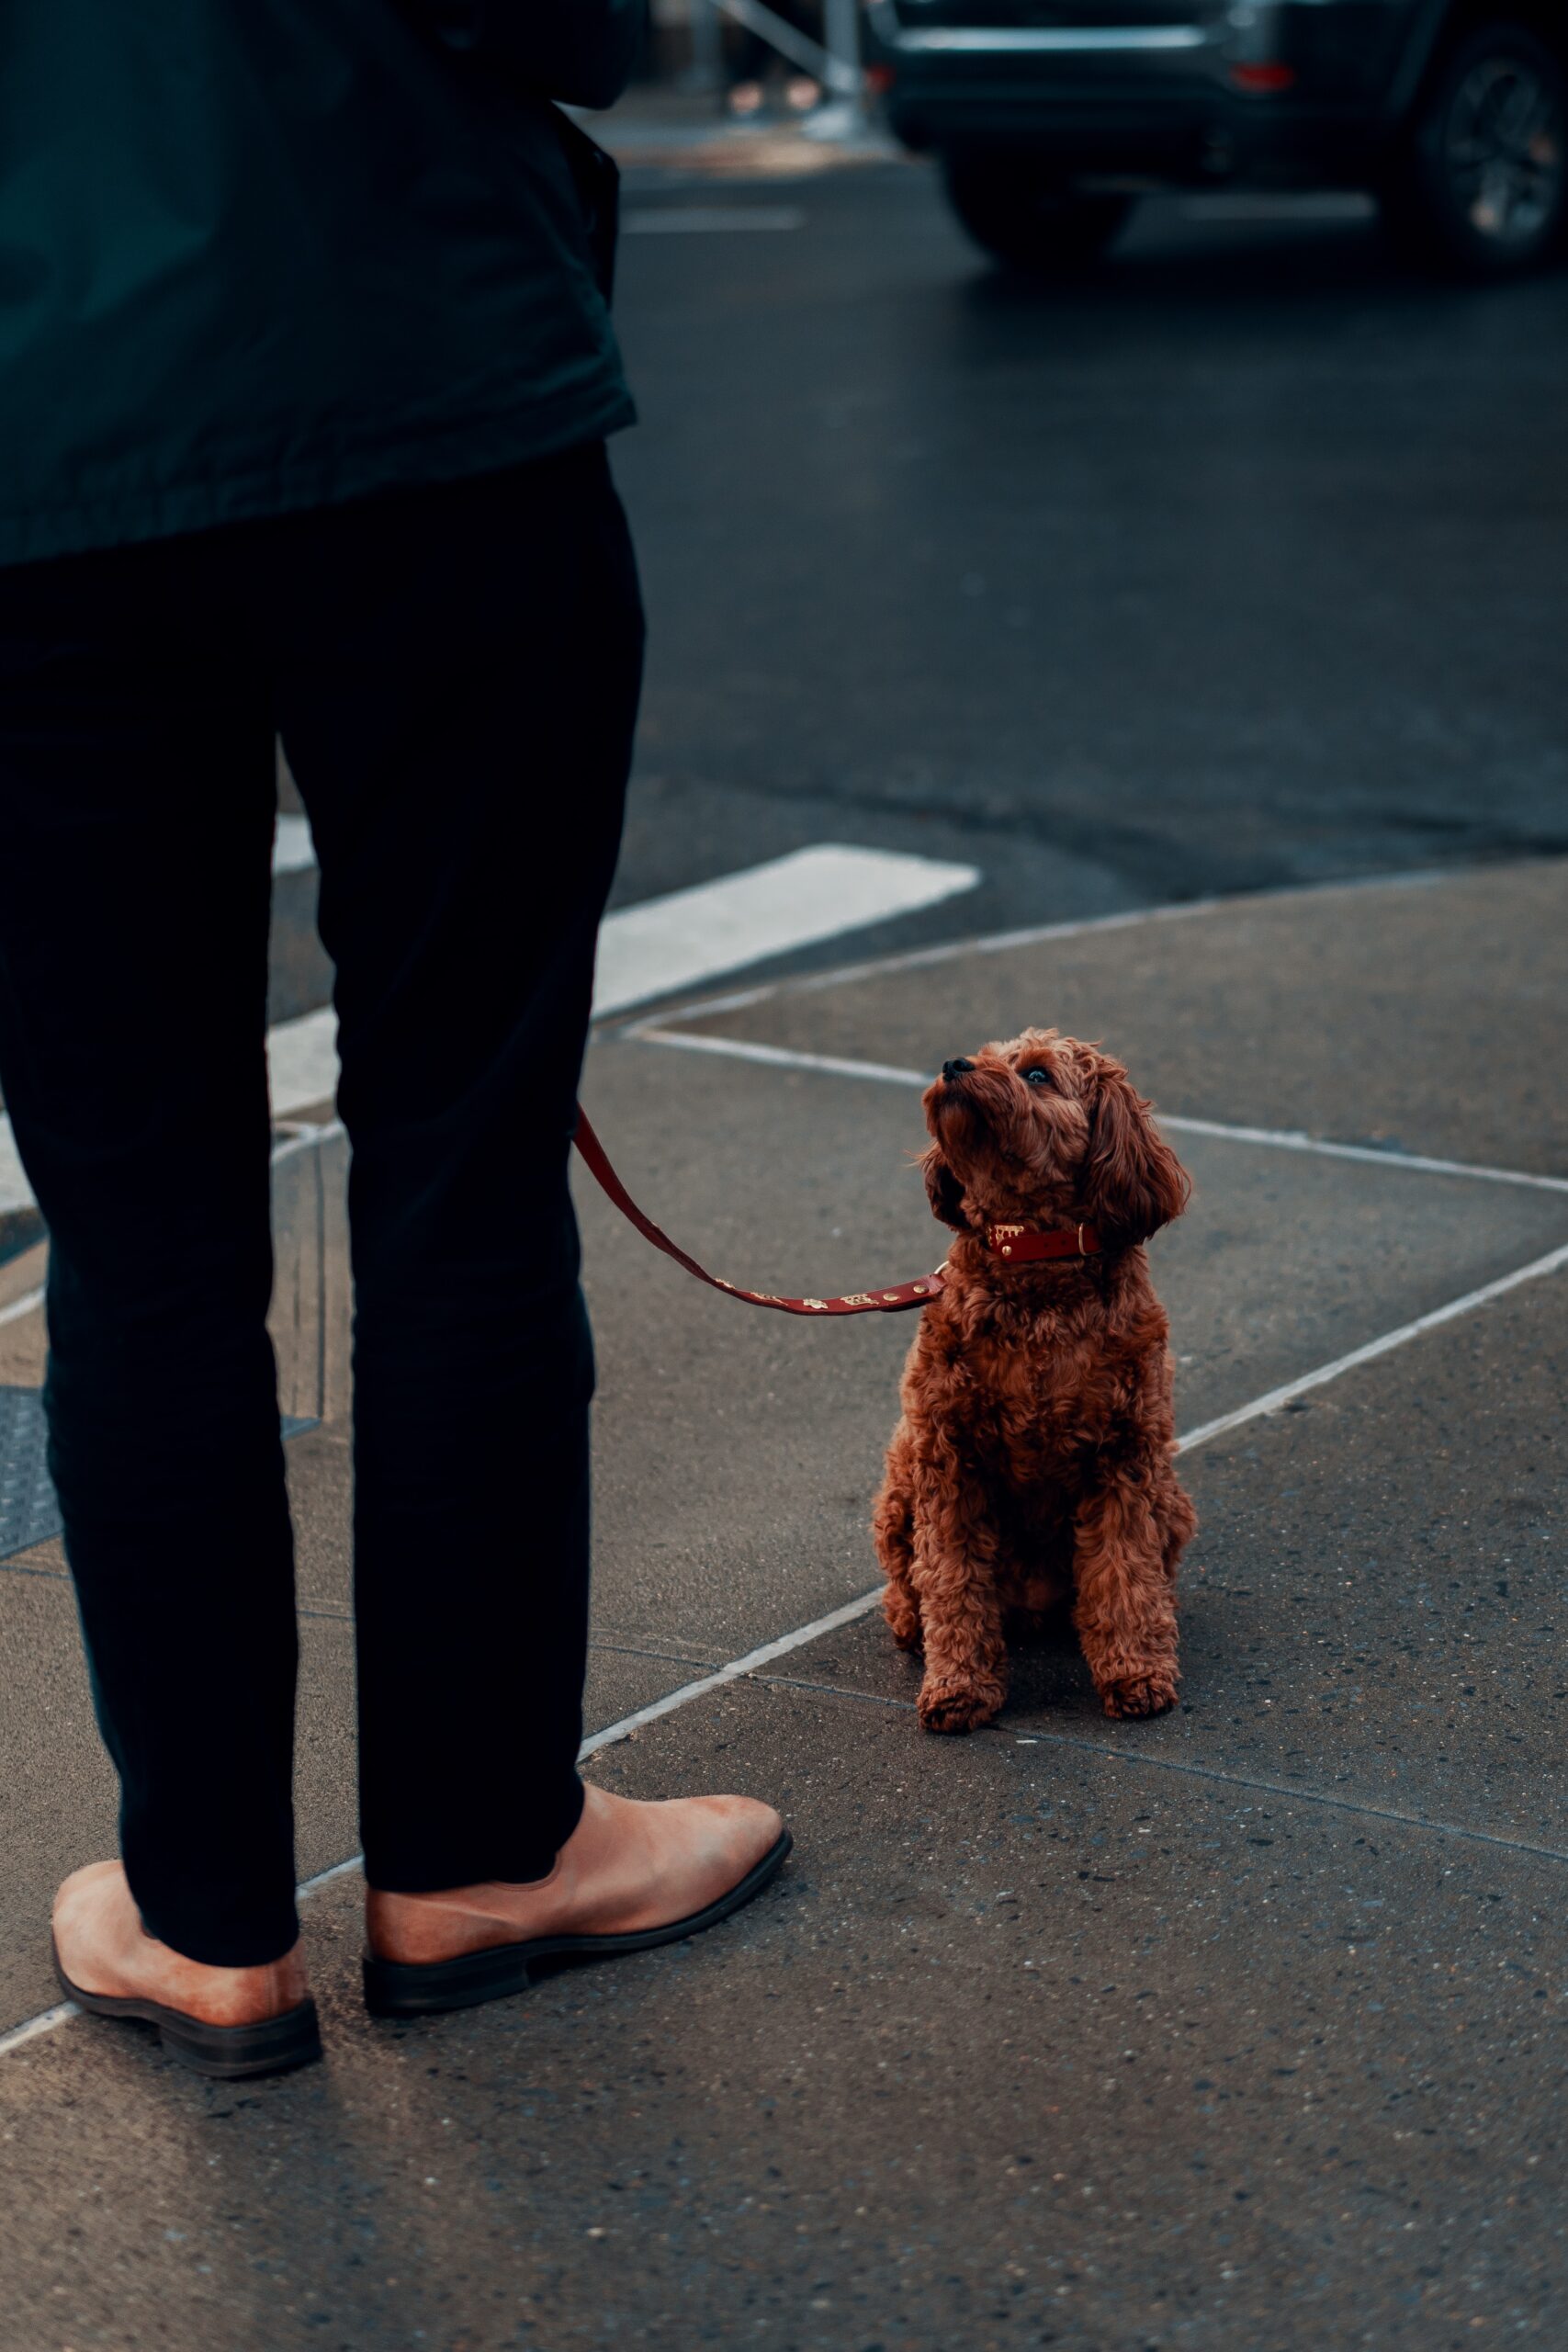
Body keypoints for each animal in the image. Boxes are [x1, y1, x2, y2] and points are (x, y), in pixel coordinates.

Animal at [879, 1025, 1194, 1731]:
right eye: (983, 1055)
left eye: (1037, 1075)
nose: (953, 1064)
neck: (1030, 1255)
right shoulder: (947, 1460)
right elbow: (951, 1581)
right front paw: (959, 1686)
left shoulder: (1125, 1458)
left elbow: (1125, 1573)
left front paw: (1136, 1673)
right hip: (899, 1485)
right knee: (907, 1583)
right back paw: (910, 1625)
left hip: (1171, 1498)